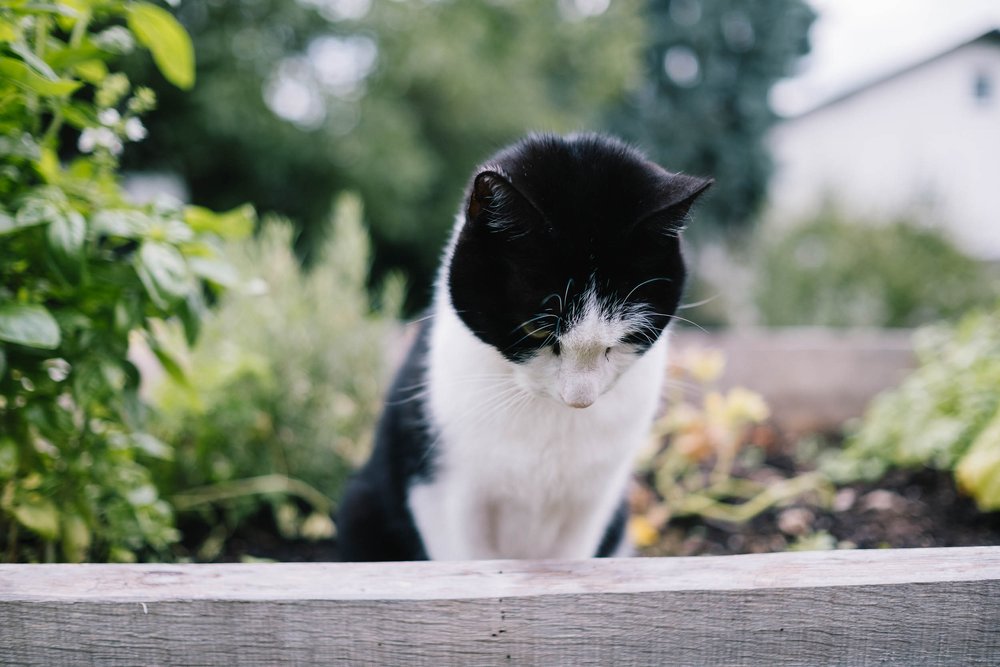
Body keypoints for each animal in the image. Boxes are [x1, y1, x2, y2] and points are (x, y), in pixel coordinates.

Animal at [336, 133, 712, 560]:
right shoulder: (438, 491)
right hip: (362, 503)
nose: (579, 398)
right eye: (535, 330)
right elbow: (465, 557)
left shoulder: (597, 501)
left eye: (627, 336)